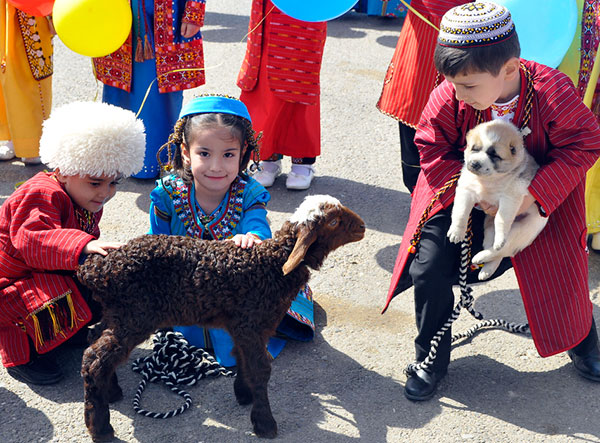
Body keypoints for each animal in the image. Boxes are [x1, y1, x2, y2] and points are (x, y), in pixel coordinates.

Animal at [77, 196, 364, 442]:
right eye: (333, 221)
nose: (362, 227)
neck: (272, 265)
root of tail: (95, 269)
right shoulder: (251, 324)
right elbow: (261, 368)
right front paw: (264, 423)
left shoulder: (244, 326)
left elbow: (242, 359)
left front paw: (244, 394)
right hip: (135, 315)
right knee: (94, 359)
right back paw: (100, 428)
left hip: (118, 313)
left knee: (94, 339)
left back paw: (111, 391)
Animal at [446, 120, 548, 280]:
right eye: (474, 149)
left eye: (494, 156)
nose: (474, 164)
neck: (490, 180)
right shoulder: (467, 189)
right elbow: (461, 212)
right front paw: (456, 232)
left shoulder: (510, 197)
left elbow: (501, 219)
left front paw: (500, 238)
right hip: (489, 228)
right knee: (496, 250)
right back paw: (486, 269)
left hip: (522, 229)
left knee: (503, 248)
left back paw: (481, 257)